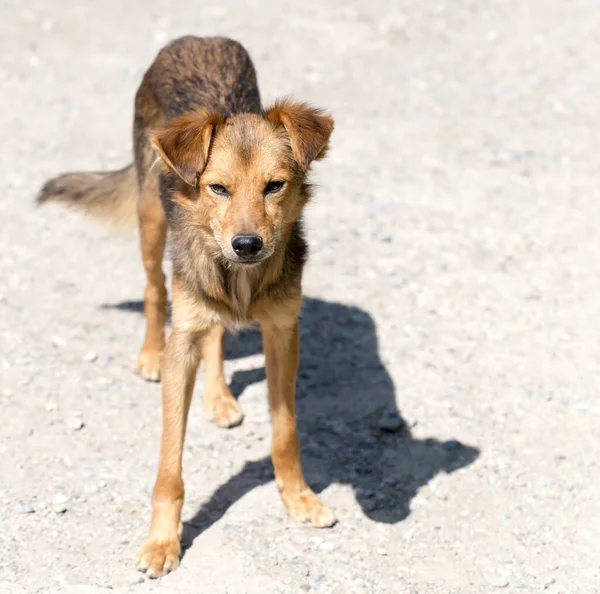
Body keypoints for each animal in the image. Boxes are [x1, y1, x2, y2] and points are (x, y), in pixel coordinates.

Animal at [38, 35, 338, 572]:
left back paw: (218, 396)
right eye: (217, 187)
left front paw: (298, 497)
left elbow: (285, 432)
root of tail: (196, 39)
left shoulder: (284, 333)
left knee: (215, 330)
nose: (246, 245)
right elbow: (169, 464)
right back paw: (148, 355)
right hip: (150, 218)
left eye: (275, 185)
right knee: (155, 290)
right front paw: (162, 540)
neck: (239, 278)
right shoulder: (184, 345)